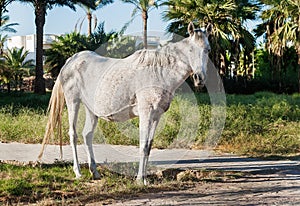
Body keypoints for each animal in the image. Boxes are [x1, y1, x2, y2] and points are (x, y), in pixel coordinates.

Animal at [38, 22, 212, 185]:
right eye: (190, 50)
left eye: (208, 50)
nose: (199, 78)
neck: (159, 72)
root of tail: (71, 61)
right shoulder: (146, 113)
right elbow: (143, 146)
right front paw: (140, 179)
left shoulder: (156, 116)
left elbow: (149, 146)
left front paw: (144, 178)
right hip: (73, 101)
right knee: (73, 135)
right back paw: (78, 173)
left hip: (91, 109)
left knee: (87, 135)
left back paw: (95, 172)